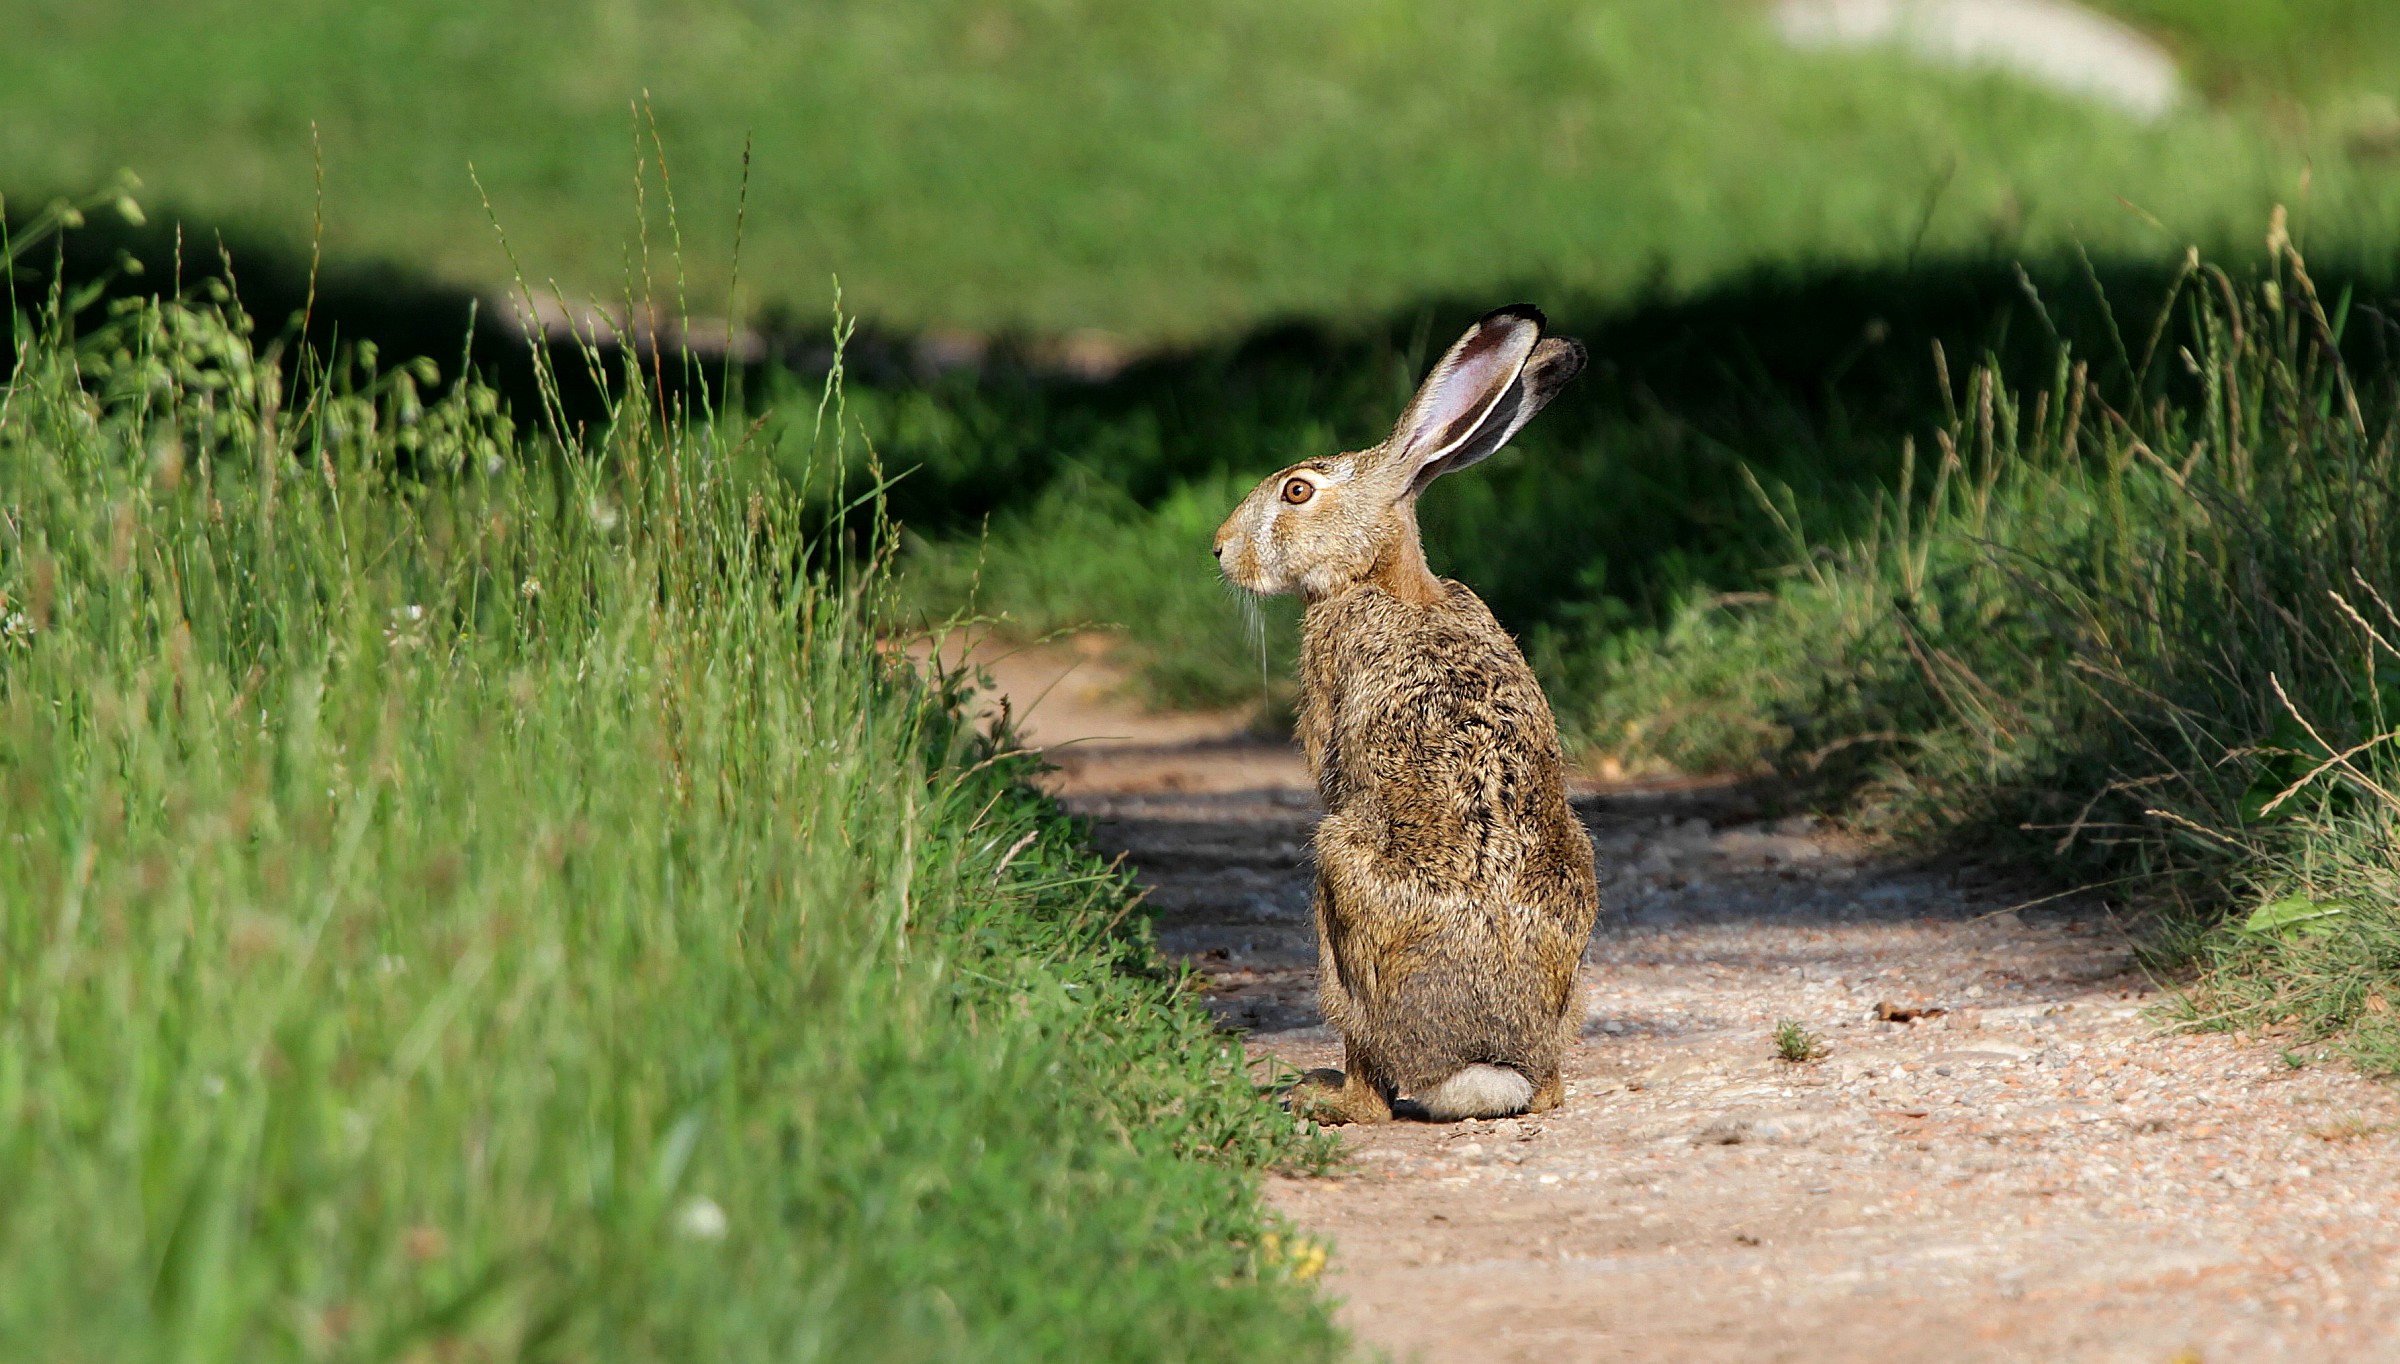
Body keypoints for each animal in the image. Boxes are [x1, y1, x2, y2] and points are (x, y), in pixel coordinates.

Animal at [1211, 304, 1601, 1124]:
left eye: (1297, 493)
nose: (1221, 549)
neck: (1382, 578)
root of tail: (1481, 1066)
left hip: (1337, 897)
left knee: (1372, 1088)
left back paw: (1321, 1094)